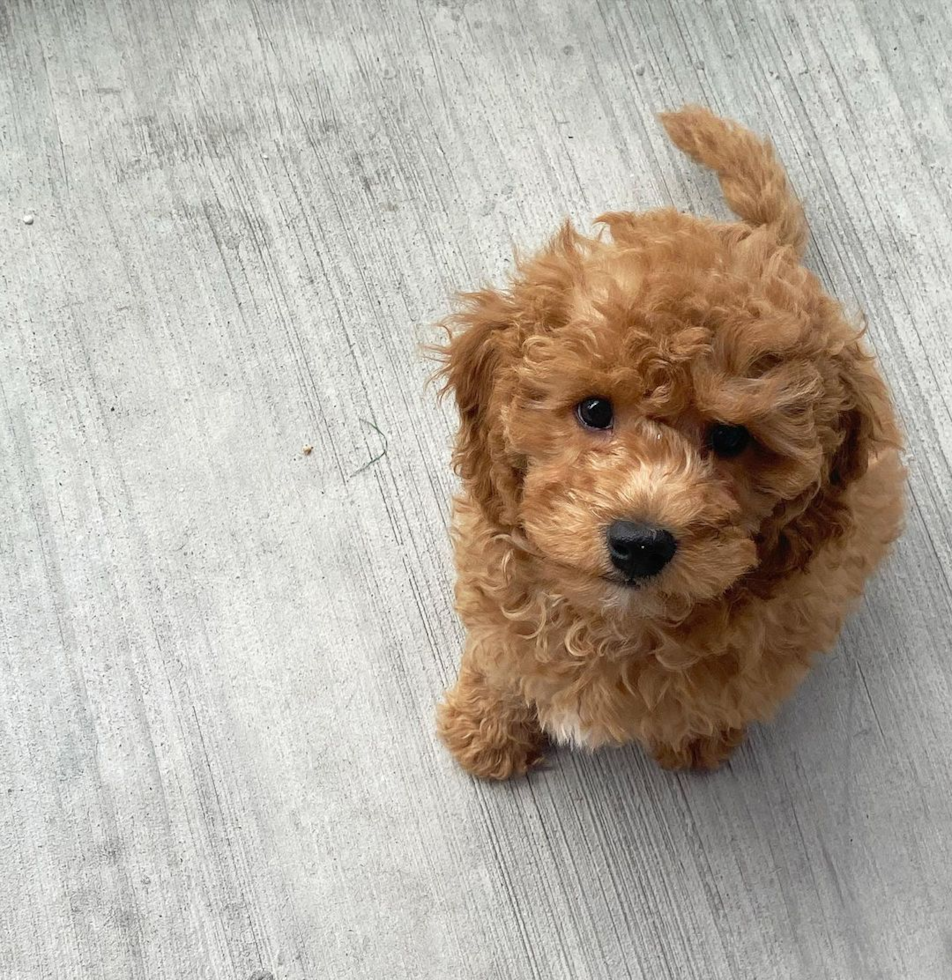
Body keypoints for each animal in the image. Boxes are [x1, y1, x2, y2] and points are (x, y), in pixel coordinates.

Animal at [436, 105, 904, 780]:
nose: (640, 544)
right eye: (594, 410)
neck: (612, 623)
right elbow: (502, 660)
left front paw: (697, 738)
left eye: (732, 437)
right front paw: (486, 726)